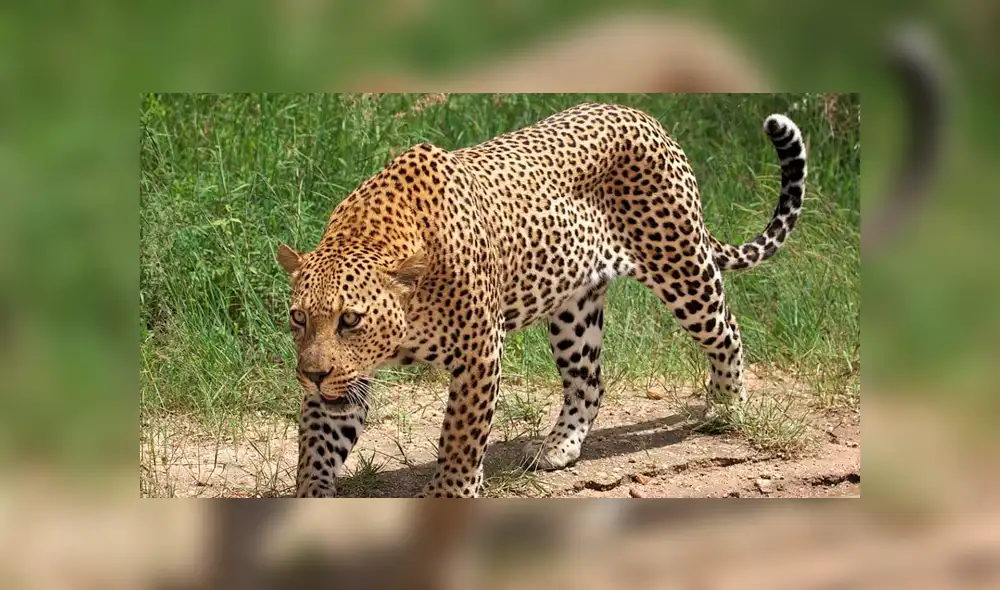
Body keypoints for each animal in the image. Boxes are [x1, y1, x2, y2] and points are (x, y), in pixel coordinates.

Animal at [276, 102, 807, 498]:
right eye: (298, 318)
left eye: (350, 319)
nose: (311, 374)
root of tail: (644, 116)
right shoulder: (346, 378)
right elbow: (317, 445)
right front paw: (310, 500)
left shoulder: (479, 351)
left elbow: (461, 436)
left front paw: (450, 493)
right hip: (573, 311)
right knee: (589, 382)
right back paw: (559, 447)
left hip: (681, 266)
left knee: (726, 330)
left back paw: (726, 408)